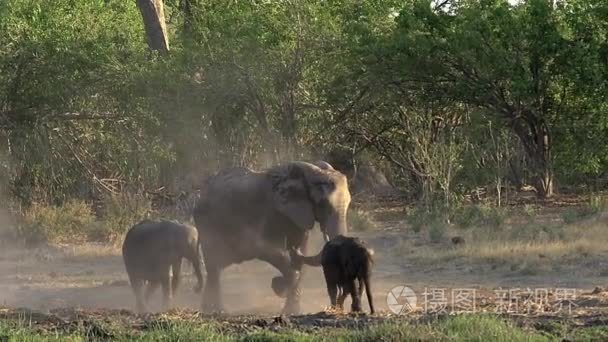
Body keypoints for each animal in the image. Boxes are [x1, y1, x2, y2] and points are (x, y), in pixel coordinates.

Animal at [192, 162, 350, 314]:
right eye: (323, 204)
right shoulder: (265, 212)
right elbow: (261, 246)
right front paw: (279, 286)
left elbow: (301, 255)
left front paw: (292, 310)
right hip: (206, 222)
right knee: (214, 265)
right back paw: (217, 311)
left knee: (216, 266)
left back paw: (209, 309)